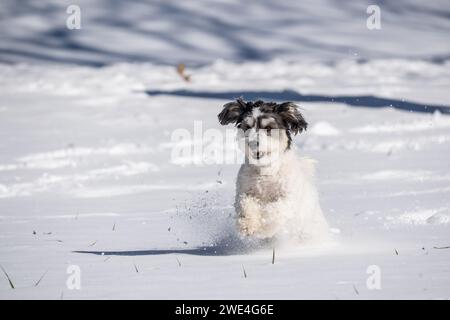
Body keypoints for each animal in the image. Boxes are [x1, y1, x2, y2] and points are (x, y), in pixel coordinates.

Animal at [218, 98, 326, 242]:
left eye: (268, 128)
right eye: (247, 127)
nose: (253, 143)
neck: (265, 171)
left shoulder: (287, 197)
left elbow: (274, 210)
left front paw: (263, 226)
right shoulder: (245, 191)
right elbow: (246, 205)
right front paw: (247, 226)